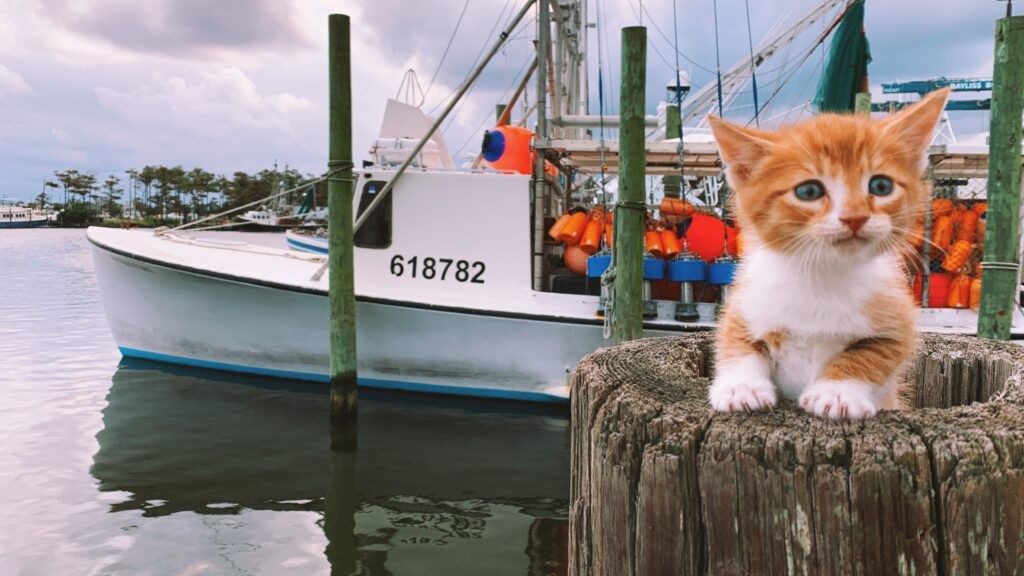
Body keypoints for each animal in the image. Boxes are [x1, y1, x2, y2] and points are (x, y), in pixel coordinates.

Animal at [708, 88, 946, 416]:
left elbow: (868, 356)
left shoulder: (897, 322)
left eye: (881, 186)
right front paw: (741, 387)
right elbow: (736, 342)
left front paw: (836, 393)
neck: (823, 275)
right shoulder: (746, 302)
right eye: (808, 191)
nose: (855, 217)